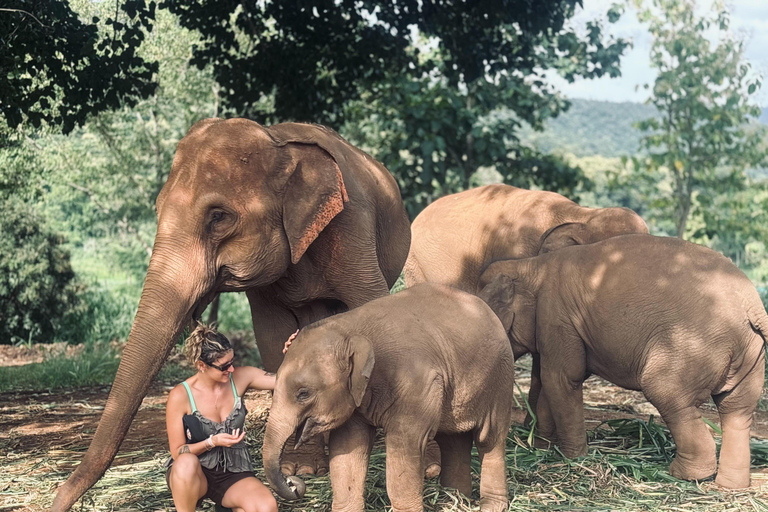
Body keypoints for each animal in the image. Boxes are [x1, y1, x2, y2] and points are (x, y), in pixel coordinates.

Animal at [52, 118, 411, 512]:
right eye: (157, 210)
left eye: (218, 217)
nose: (56, 500)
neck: (276, 141)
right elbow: (272, 338)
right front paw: (299, 467)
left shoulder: (351, 229)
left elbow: (374, 307)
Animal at [263, 283, 516, 512]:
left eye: (303, 393)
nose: (295, 483)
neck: (350, 328)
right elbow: (348, 447)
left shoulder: (417, 384)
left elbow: (405, 445)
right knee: (453, 439)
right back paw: (453, 499)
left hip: (500, 378)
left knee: (489, 439)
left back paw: (490, 506)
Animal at [477, 234, 767, 489]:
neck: (531, 265)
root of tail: (752, 305)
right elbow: (553, 380)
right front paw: (543, 448)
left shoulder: (556, 315)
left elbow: (562, 378)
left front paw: (573, 457)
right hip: (749, 355)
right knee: (736, 409)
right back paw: (729, 486)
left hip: (694, 346)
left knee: (668, 393)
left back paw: (684, 475)